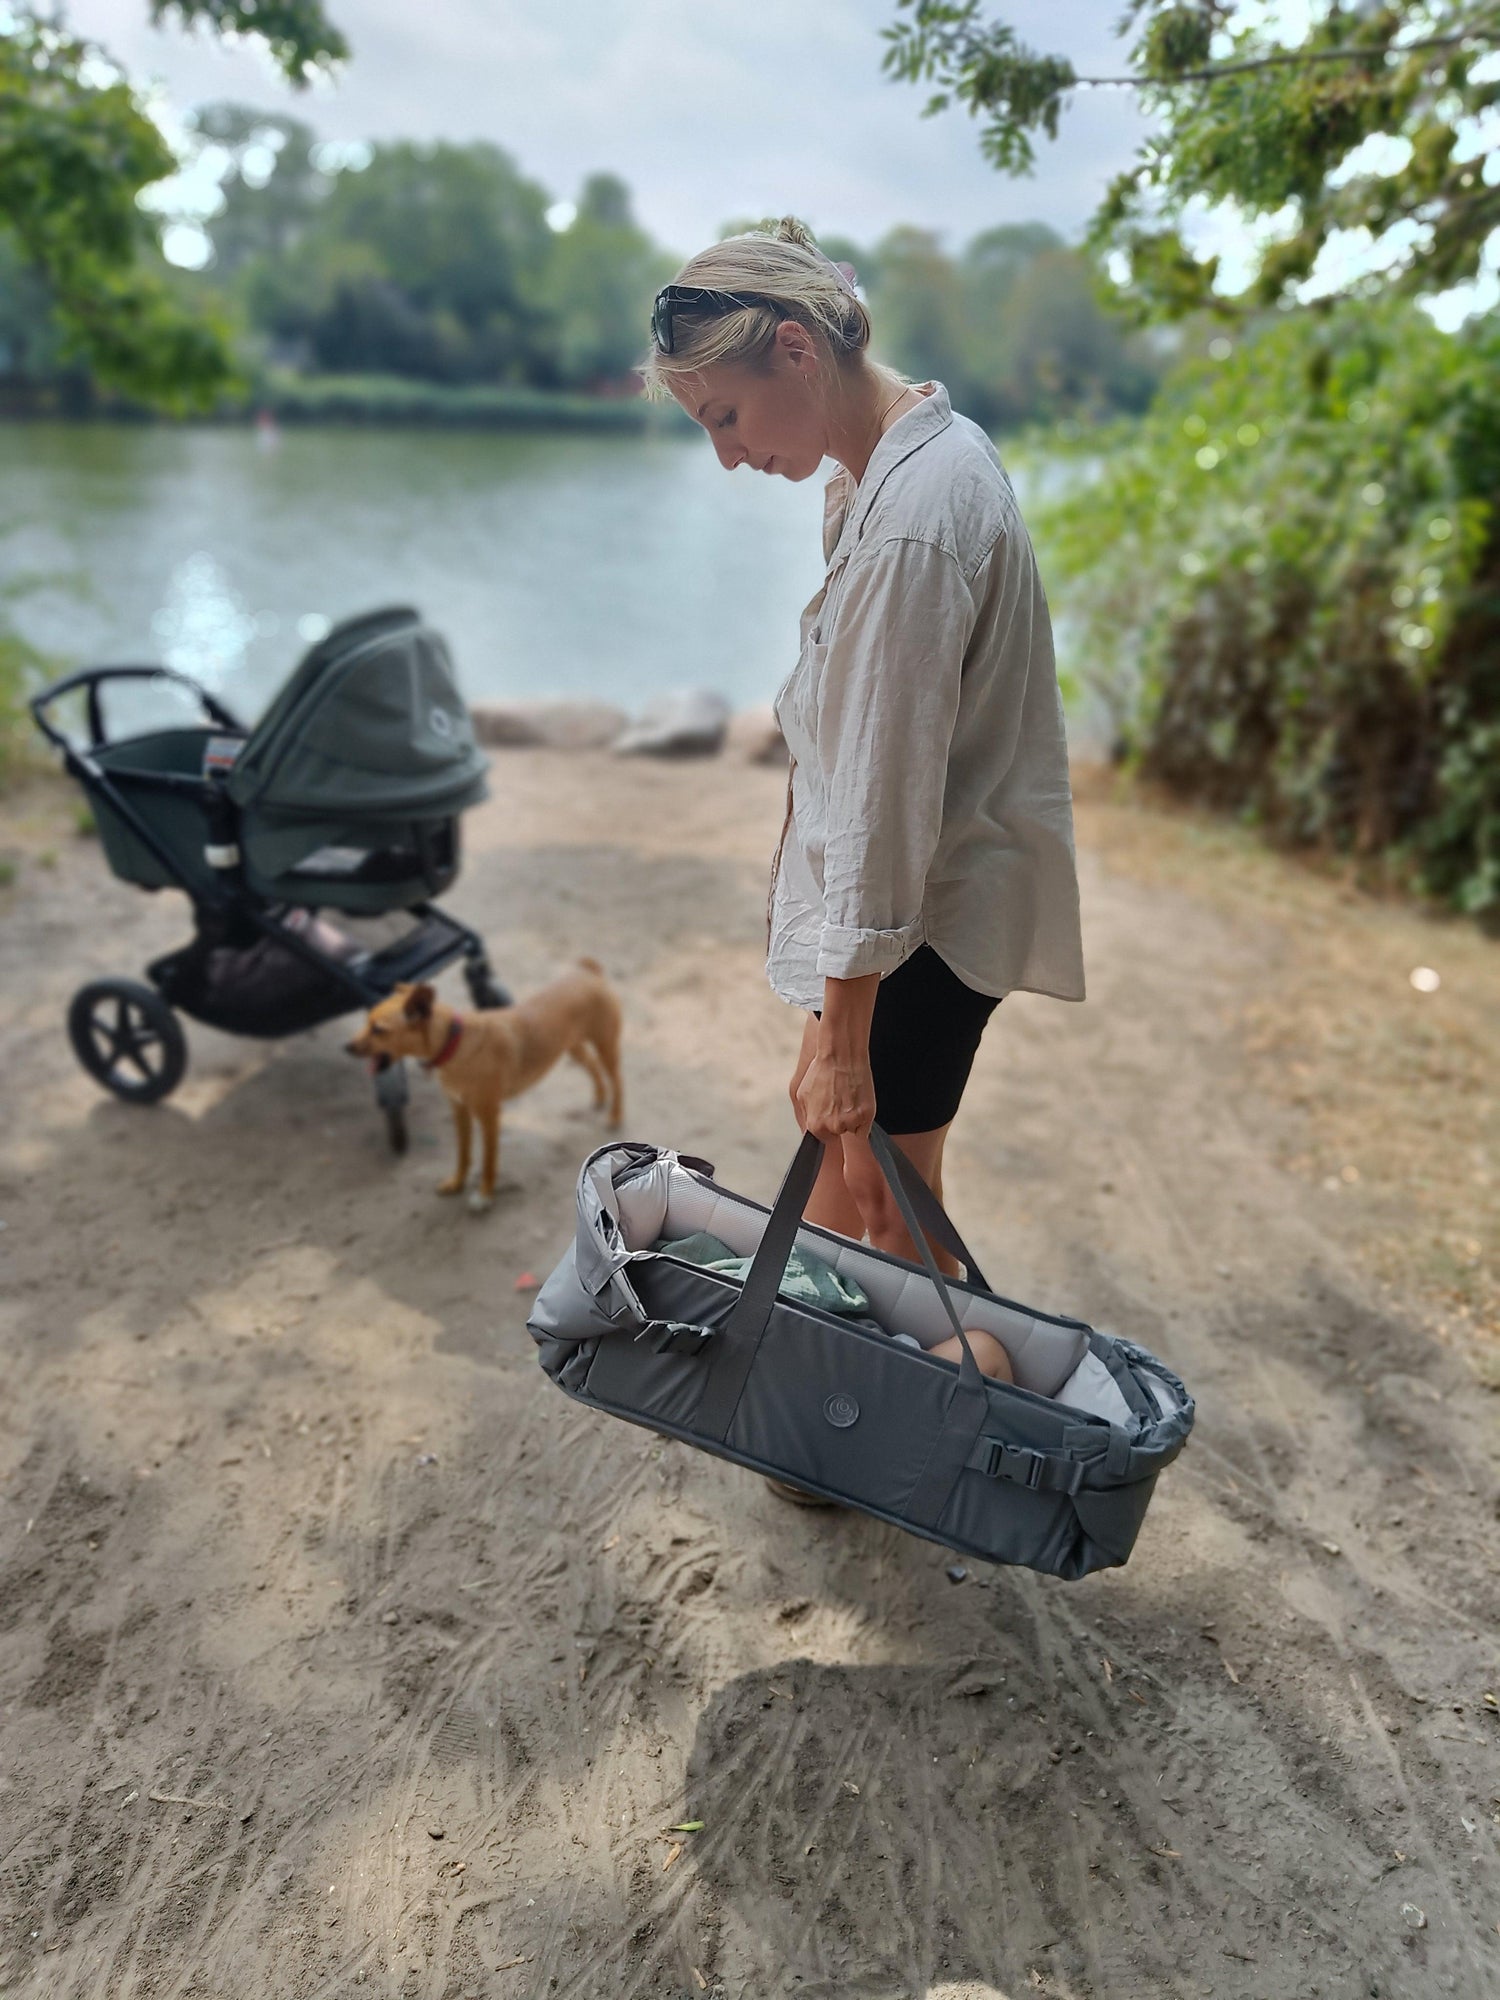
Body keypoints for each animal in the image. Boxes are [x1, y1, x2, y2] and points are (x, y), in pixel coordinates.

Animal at [350, 960, 624, 1208]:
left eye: (378, 1029)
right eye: (367, 1022)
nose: (347, 1047)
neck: (453, 1042)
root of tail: (587, 971)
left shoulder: (489, 1116)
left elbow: (488, 1160)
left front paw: (484, 1195)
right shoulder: (459, 1110)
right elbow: (463, 1153)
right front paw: (456, 1182)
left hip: (605, 1045)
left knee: (617, 1080)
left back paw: (615, 1116)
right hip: (572, 1046)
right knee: (592, 1065)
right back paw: (599, 1096)